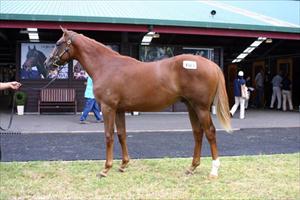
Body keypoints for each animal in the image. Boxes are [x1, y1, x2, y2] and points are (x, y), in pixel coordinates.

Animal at [45, 27, 232, 178]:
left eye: (58, 43)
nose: (48, 64)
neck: (106, 65)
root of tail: (212, 65)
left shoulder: (108, 108)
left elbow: (109, 136)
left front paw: (106, 169)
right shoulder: (119, 109)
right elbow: (121, 135)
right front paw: (123, 165)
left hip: (201, 108)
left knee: (210, 132)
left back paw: (214, 170)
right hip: (191, 106)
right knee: (198, 133)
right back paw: (192, 167)